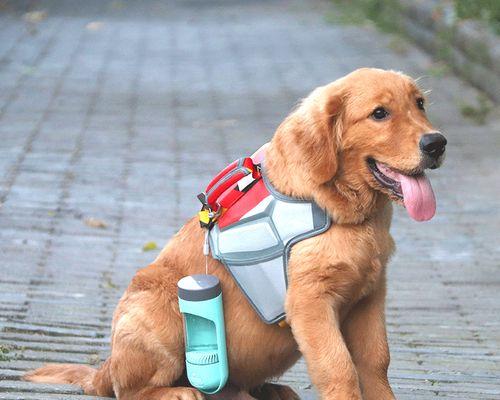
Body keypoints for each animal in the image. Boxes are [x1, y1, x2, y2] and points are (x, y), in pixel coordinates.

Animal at [23, 67, 448, 398]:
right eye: (379, 114)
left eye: (420, 104)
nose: (437, 143)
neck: (349, 213)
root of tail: (104, 367)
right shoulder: (310, 302)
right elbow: (339, 367)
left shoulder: (370, 296)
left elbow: (376, 363)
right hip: (159, 311)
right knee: (128, 390)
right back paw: (179, 392)